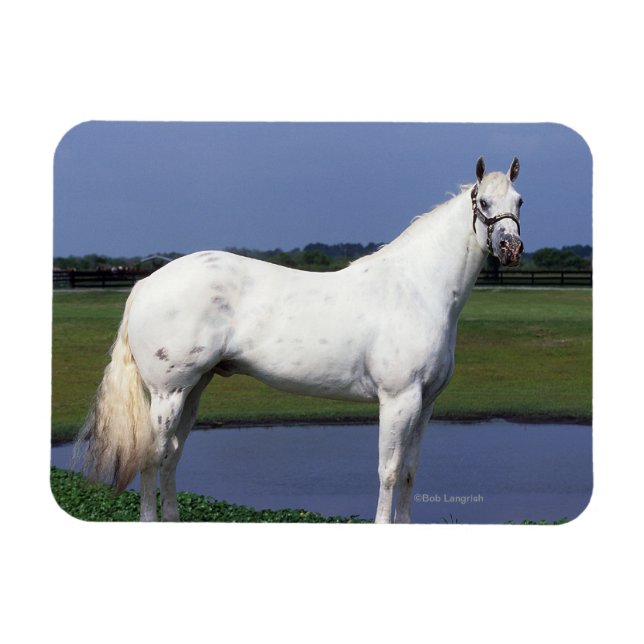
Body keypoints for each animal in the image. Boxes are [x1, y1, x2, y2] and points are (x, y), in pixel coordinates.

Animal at [75, 156, 523, 523]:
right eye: (483, 202)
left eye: (519, 201)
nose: (511, 247)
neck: (416, 288)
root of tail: (146, 283)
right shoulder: (398, 401)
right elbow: (390, 472)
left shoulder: (426, 403)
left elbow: (411, 472)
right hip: (167, 393)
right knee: (152, 457)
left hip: (194, 388)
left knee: (171, 456)